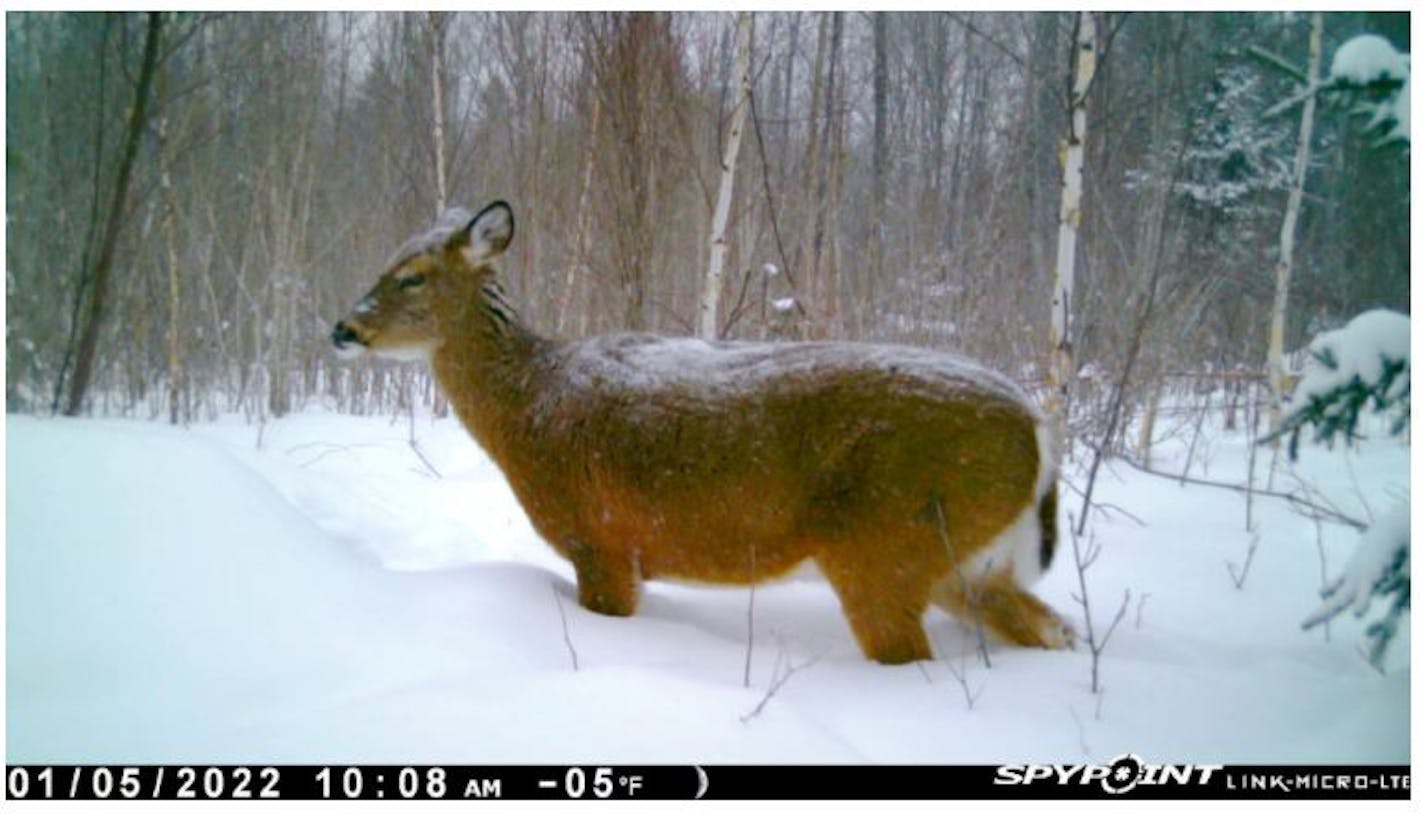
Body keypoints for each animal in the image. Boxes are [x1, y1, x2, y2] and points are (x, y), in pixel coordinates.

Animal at [330, 203, 1070, 666]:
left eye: (412, 276)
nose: (342, 328)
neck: (532, 403)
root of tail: (1038, 431)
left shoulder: (600, 537)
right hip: (969, 562)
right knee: (1054, 628)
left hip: (886, 545)